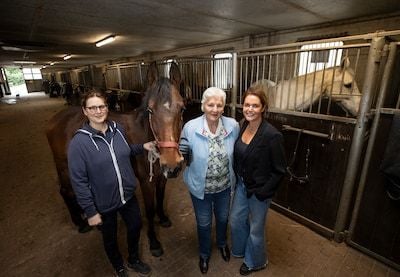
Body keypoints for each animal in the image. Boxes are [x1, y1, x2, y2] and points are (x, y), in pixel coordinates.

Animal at [47, 61, 186, 256]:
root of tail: (55, 119)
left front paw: (164, 218)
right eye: (150, 110)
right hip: (64, 167)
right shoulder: (146, 181)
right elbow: (149, 210)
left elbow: (160, 198)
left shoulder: (162, 177)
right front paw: (154, 242)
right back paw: (80, 224)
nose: (172, 163)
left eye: (182, 108)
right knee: (65, 191)